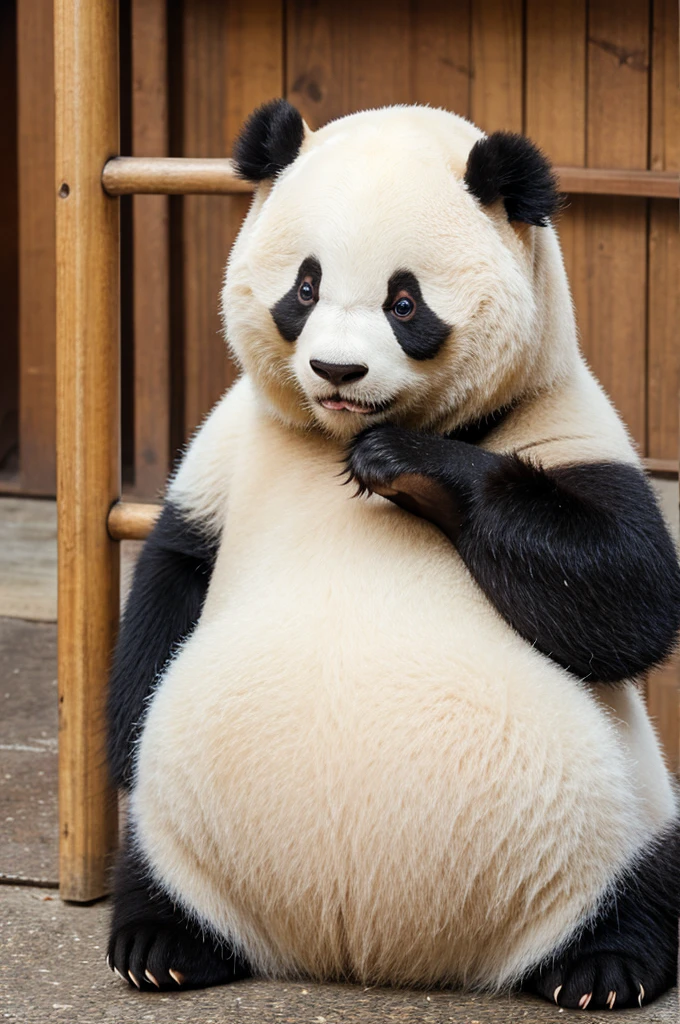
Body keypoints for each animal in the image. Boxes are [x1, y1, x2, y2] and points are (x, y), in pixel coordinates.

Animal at [106, 100, 680, 1010]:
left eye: (404, 301)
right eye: (304, 288)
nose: (337, 369)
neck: (336, 435)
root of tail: (367, 952)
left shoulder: (561, 418)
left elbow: (627, 593)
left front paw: (407, 467)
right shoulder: (227, 446)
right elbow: (175, 568)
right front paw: (122, 743)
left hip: (625, 816)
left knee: (647, 882)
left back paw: (604, 968)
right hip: (178, 835)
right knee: (152, 867)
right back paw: (158, 944)